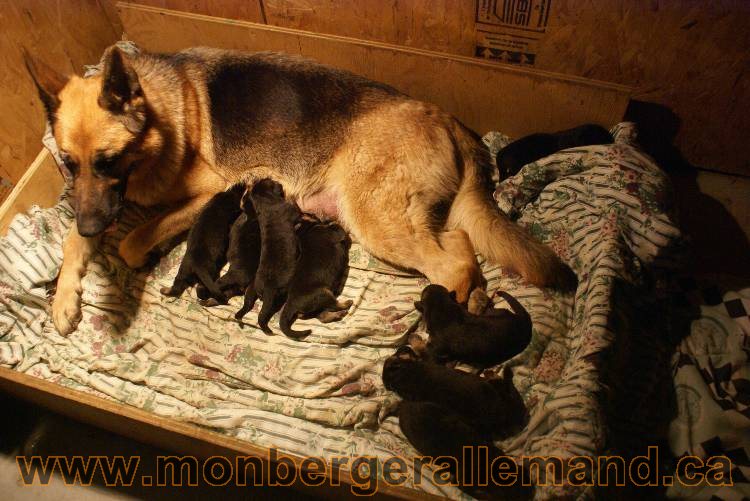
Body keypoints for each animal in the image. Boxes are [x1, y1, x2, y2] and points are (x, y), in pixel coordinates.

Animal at [238, 178, 302, 334]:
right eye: (271, 181)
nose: (278, 182)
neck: (265, 202)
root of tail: (268, 288)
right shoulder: (292, 211)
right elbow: (296, 210)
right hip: (282, 289)